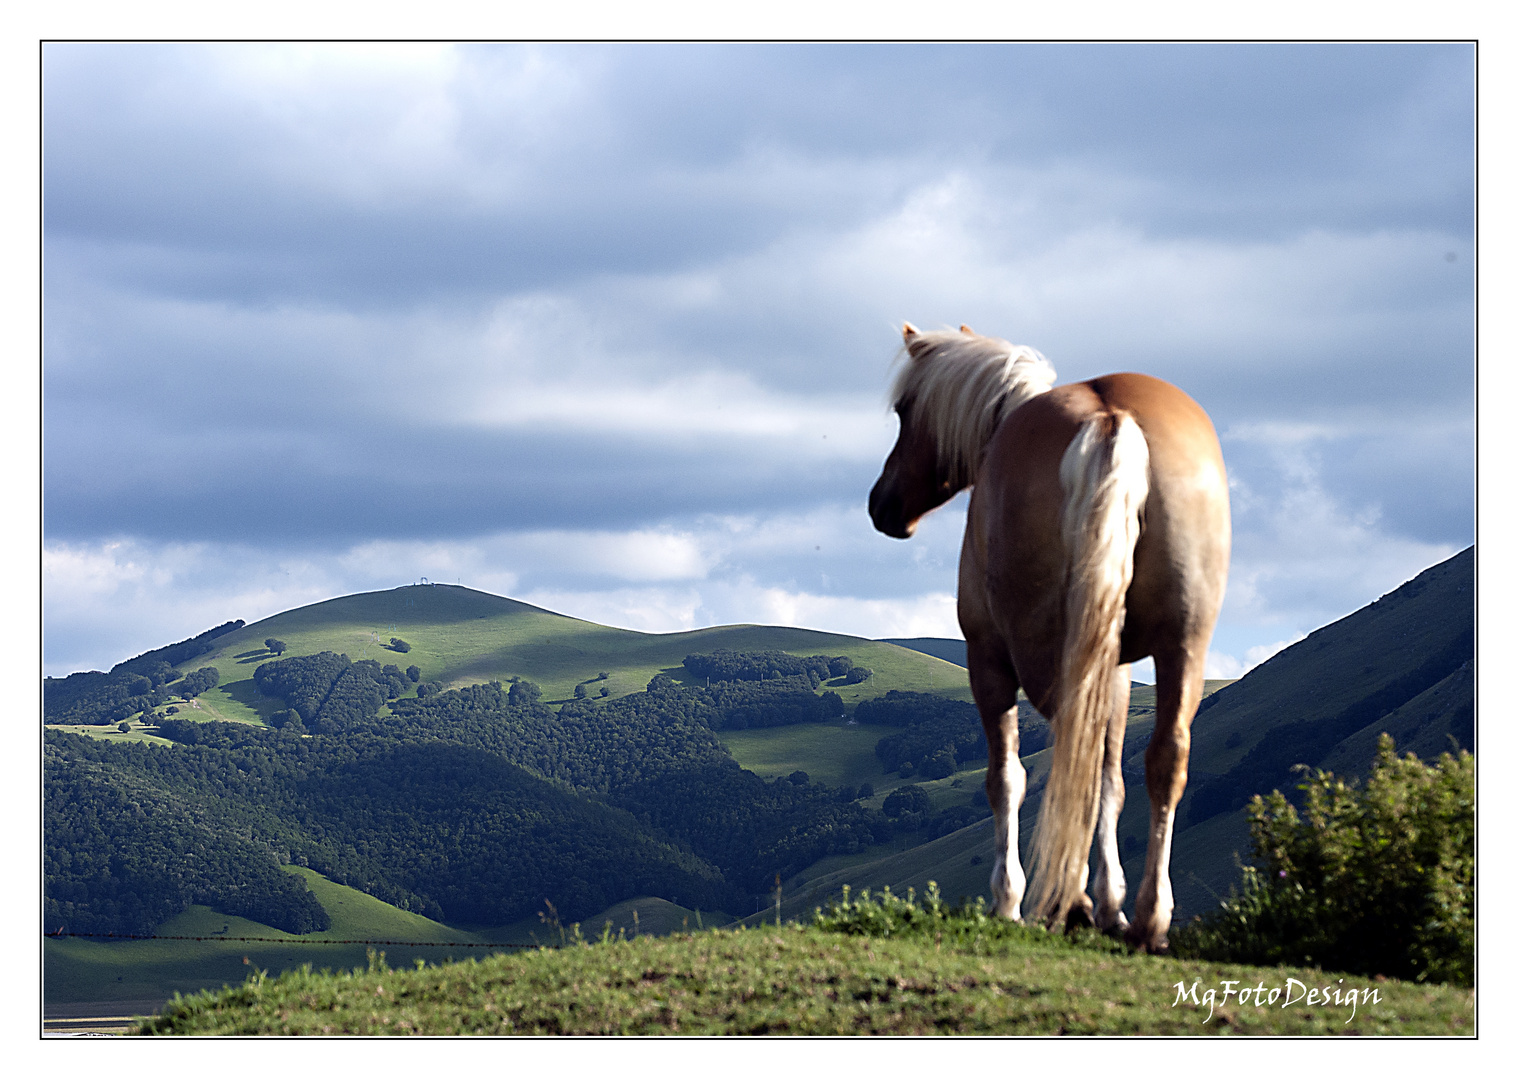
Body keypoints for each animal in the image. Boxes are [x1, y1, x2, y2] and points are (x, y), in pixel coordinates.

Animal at [868, 323, 1232, 953]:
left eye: (905, 410)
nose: (881, 503)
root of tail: (1111, 418)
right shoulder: (1116, 670)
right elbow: (1108, 778)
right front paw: (1106, 901)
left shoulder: (987, 656)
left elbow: (1009, 778)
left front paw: (1015, 899)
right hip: (1183, 643)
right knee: (1165, 759)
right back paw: (1147, 917)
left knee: (1059, 760)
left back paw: (1069, 901)